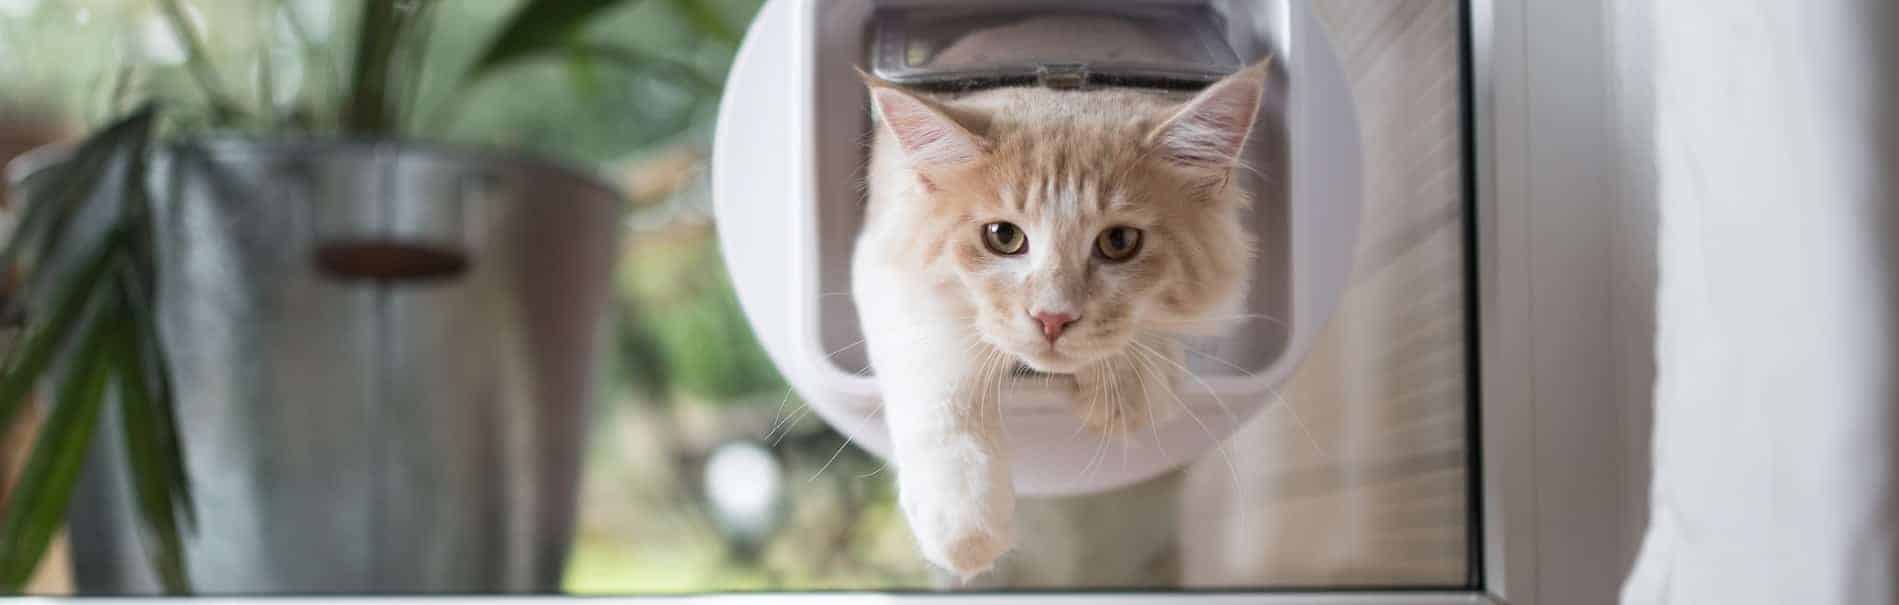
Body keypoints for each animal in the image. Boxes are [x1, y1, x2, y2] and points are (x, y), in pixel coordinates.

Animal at [854, 59, 1268, 580]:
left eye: (1119, 242)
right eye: (1003, 236)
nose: (1052, 318)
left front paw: (1126, 384)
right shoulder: (885, 264)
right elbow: (940, 376)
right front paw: (962, 520)